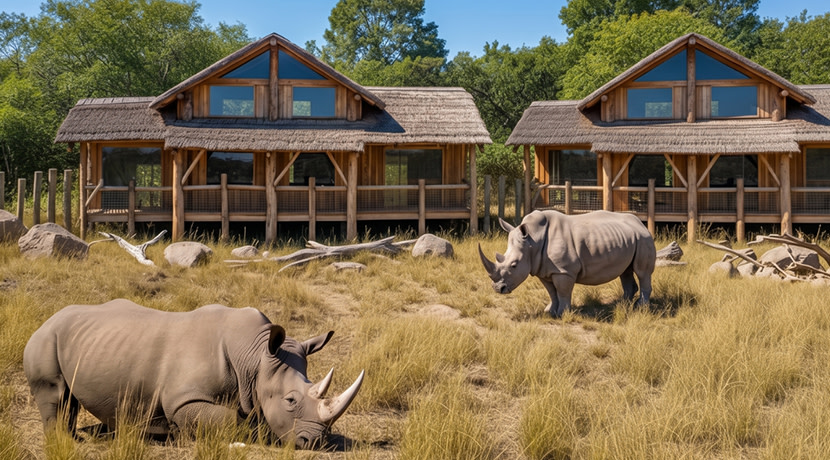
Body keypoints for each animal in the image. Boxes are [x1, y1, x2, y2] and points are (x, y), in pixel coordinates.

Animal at [23, 299, 364, 448]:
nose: (317, 442)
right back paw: (70, 441)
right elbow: (231, 420)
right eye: (291, 400)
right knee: (55, 394)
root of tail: (46, 319)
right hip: (45, 338)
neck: (254, 359)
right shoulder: (183, 399)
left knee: (70, 399)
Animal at [479, 210, 656, 317]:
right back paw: (622, 305)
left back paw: (640, 307)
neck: (533, 241)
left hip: (643, 238)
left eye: (514, 265)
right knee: (625, 271)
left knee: (642, 272)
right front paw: (549, 311)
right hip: (629, 238)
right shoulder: (543, 269)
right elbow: (551, 291)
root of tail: (641, 223)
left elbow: (563, 291)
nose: (498, 289)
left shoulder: (563, 270)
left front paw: (563, 314)